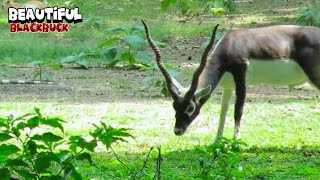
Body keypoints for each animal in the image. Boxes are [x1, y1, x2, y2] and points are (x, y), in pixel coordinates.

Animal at [142, 20, 320, 140]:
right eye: (174, 106)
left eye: (191, 107)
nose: (177, 130)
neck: (229, 46)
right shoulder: (228, 86)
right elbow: (223, 111)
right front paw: (217, 141)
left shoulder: (241, 78)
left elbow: (237, 110)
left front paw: (236, 142)